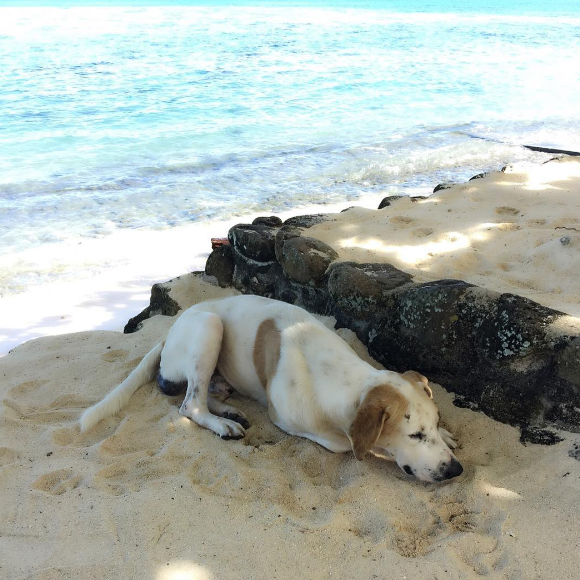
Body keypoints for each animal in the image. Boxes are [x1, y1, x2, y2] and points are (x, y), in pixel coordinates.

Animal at [81, 294, 462, 480]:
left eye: (433, 425)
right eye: (414, 435)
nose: (456, 470)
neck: (340, 376)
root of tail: (171, 329)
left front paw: (448, 435)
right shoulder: (290, 419)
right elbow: (347, 444)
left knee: (208, 393)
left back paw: (230, 409)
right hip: (209, 325)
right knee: (190, 404)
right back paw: (223, 424)